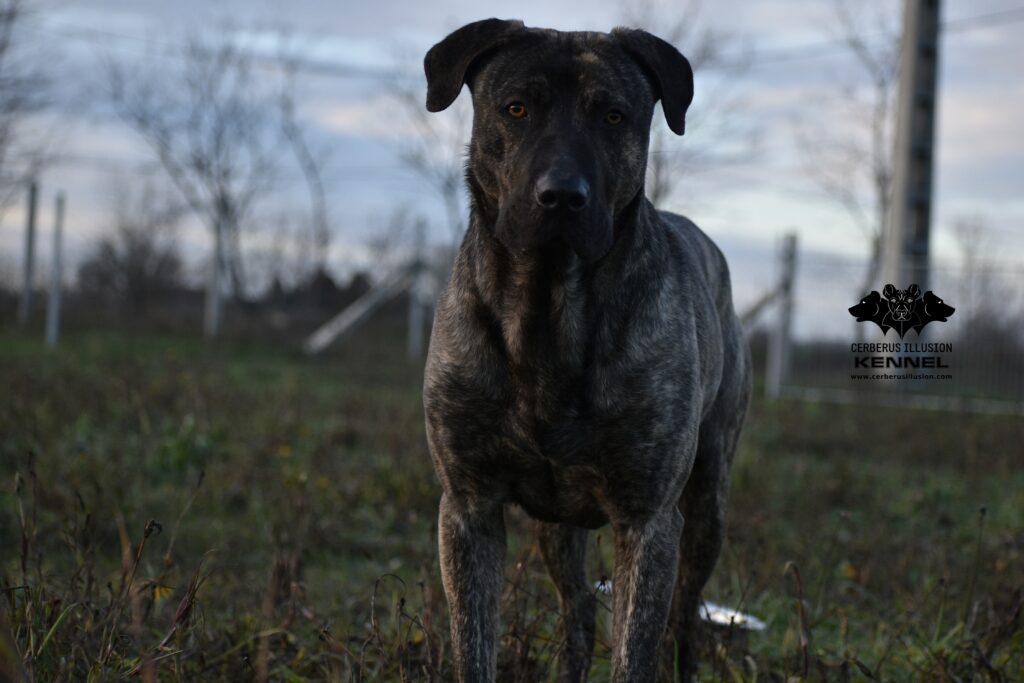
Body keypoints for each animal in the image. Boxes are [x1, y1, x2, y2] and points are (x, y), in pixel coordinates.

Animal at [421, 17, 753, 683]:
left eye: (614, 115)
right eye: (516, 108)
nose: (562, 196)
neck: (550, 309)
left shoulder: (649, 521)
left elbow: (634, 649)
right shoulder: (468, 508)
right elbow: (475, 643)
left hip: (709, 502)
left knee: (684, 618)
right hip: (558, 527)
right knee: (577, 616)